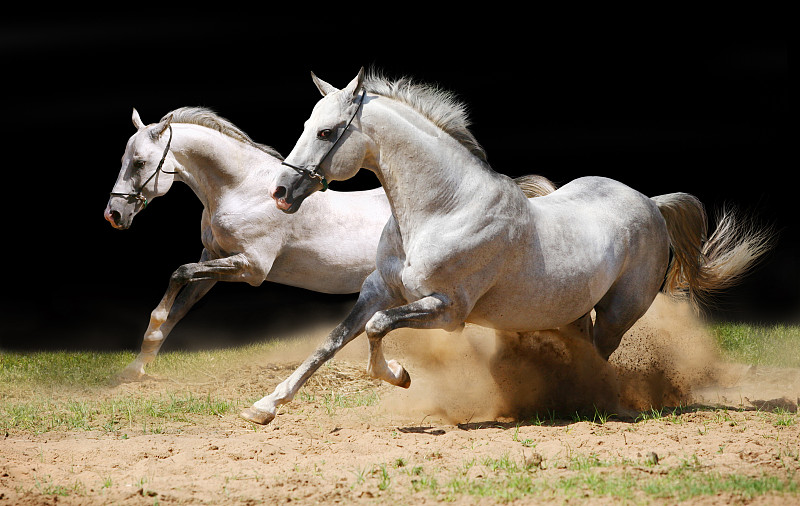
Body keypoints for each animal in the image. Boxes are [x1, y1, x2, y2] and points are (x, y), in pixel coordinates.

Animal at [104, 106, 556, 378]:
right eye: (124, 158)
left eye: (140, 162)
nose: (114, 215)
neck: (242, 188)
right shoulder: (214, 260)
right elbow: (174, 308)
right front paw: (135, 370)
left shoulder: (249, 267)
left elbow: (178, 273)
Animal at [239, 67, 776, 422]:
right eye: (306, 125)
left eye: (326, 131)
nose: (280, 193)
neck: (444, 208)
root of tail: (650, 203)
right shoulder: (379, 290)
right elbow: (331, 343)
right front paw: (265, 407)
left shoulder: (447, 311)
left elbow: (376, 329)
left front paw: (400, 376)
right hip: (572, 311)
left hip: (619, 312)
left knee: (601, 358)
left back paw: (593, 403)